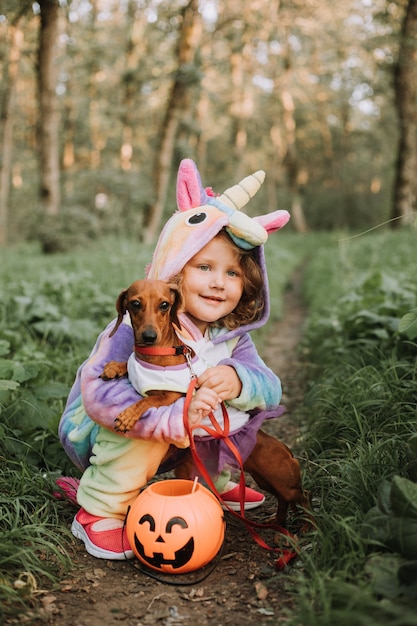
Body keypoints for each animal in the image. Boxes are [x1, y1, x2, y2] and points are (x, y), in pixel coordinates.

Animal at [101, 278, 308, 528]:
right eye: (135, 304)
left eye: (164, 305)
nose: (149, 336)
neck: (156, 353)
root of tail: (286, 450)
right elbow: (127, 367)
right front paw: (115, 367)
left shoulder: (173, 395)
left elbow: (149, 399)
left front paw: (128, 416)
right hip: (266, 480)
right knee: (284, 501)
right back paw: (277, 521)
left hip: (285, 483)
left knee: (303, 499)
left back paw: (309, 527)